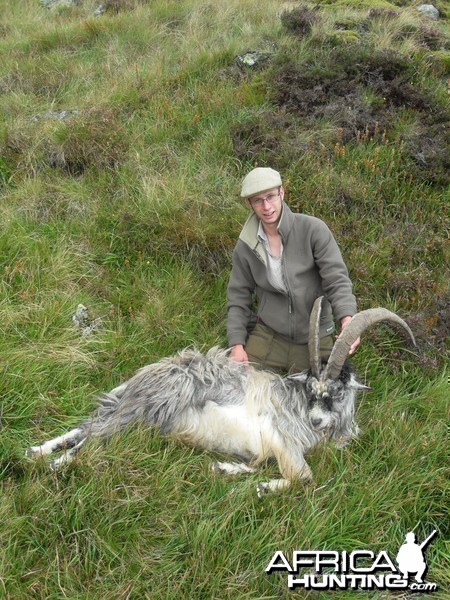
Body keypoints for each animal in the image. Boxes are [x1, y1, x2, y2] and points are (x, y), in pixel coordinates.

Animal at [26, 298, 416, 494]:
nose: (317, 420)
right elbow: (304, 477)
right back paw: (57, 463)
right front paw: (262, 488)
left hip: (134, 415)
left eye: (335, 392)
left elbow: (251, 463)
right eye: (311, 390)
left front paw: (226, 468)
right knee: (92, 436)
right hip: (147, 407)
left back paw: (35, 452)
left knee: (86, 426)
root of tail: (145, 375)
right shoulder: (282, 440)